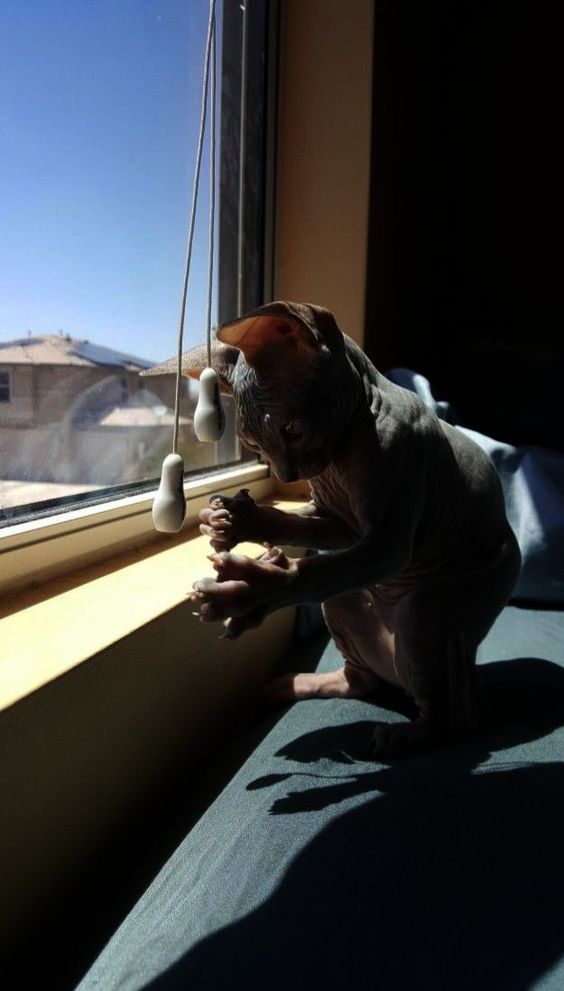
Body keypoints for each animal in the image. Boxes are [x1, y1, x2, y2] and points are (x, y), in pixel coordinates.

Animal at [144, 302, 520, 760]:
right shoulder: (342, 525)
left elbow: (311, 573)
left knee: (464, 718)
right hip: (346, 604)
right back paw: (297, 684)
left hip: (426, 615)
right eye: (254, 447)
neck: (344, 451)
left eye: (292, 430)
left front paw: (255, 590)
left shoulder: (387, 542)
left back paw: (411, 735)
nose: (287, 475)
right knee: (361, 680)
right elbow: (301, 527)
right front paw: (238, 522)